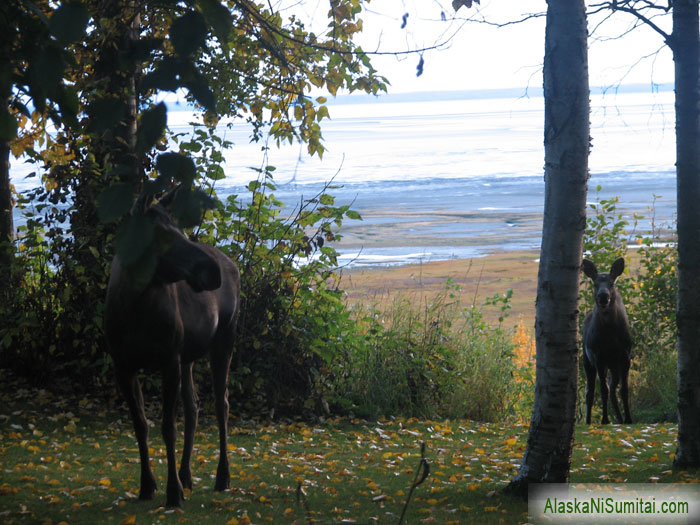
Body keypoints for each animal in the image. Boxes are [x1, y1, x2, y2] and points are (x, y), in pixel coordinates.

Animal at [104, 188, 241, 504]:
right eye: (162, 235)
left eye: (181, 230)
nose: (212, 271)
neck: (134, 308)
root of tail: (233, 263)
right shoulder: (123, 365)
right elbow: (141, 424)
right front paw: (147, 485)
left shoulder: (168, 360)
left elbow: (168, 426)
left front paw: (173, 492)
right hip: (188, 355)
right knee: (194, 406)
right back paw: (187, 474)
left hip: (224, 339)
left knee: (222, 403)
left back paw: (222, 476)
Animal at [580, 258, 636, 426]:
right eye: (595, 284)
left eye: (612, 283)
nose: (603, 296)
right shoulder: (599, 357)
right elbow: (603, 390)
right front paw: (605, 419)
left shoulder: (625, 356)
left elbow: (624, 390)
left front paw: (629, 419)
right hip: (587, 361)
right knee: (590, 391)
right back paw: (588, 421)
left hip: (614, 366)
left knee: (612, 390)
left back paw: (620, 419)